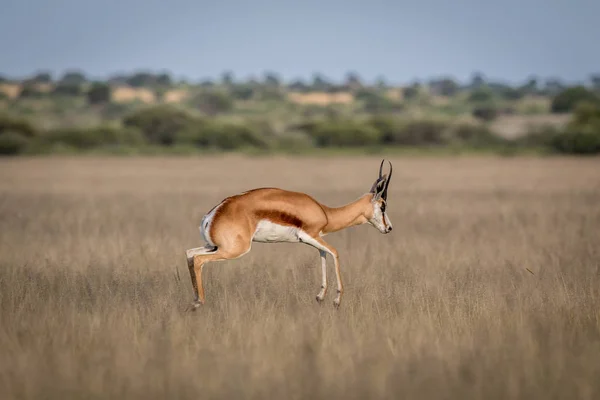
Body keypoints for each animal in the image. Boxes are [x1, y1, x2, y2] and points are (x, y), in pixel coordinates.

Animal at [186, 159, 394, 310]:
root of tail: (213, 214)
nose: (389, 228)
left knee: (190, 254)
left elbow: (323, 254)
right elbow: (334, 252)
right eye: (383, 206)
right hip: (234, 250)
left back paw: (194, 301)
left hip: (213, 246)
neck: (326, 213)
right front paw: (336, 301)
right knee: (198, 260)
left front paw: (320, 297)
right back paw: (199, 302)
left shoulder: (315, 239)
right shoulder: (311, 235)